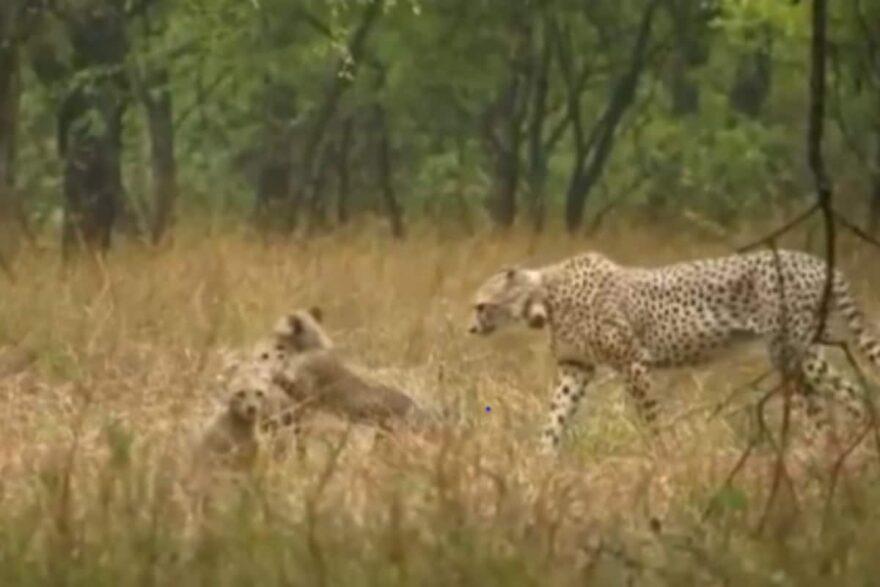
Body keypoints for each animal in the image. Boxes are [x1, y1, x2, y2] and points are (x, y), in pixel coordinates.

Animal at [468, 250, 880, 452]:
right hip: (794, 356)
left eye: (481, 306)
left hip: (792, 351)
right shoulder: (576, 367)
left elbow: (650, 417)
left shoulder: (632, 362)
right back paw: (829, 452)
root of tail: (820, 262)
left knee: (852, 393)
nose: (470, 328)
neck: (545, 296)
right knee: (828, 405)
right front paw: (542, 458)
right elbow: (556, 415)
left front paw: (663, 455)